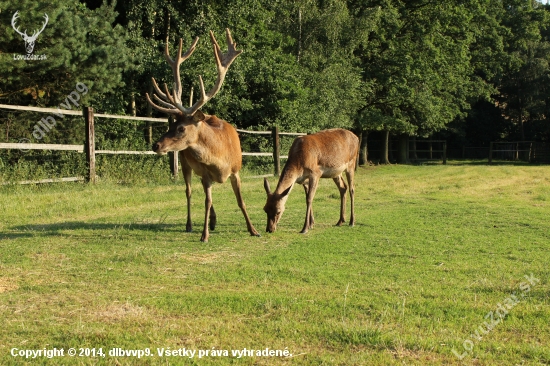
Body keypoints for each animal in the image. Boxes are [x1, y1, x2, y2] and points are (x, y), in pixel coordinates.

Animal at [146, 29, 260, 243]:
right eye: (171, 124)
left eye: (181, 128)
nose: (156, 145)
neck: (220, 159)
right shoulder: (206, 174)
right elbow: (207, 201)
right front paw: (204, 235)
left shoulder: (236, 171)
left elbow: (240, 201)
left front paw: (253, 230)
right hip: (185, 163)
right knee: (189, 192)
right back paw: (190, 225)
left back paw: (214, 221)